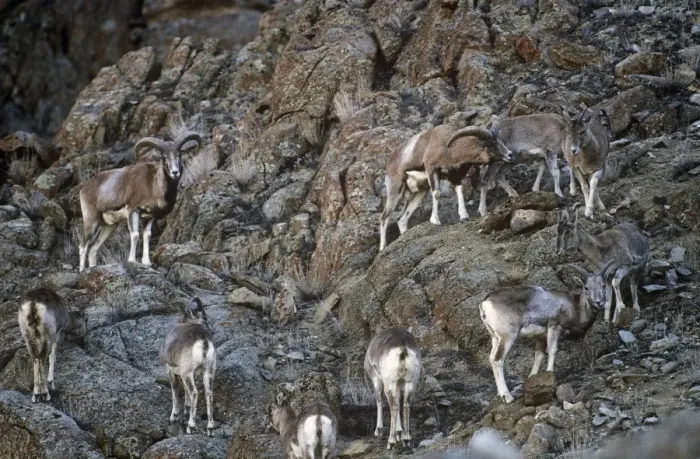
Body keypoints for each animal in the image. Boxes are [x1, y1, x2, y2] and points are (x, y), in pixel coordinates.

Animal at [78, 131, 202, 272]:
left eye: (179, 155)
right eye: (164, 157)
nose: (175, 172)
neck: (152, 186)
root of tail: (84, 188)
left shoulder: (150, 216)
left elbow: (146, 236)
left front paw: (146, 262)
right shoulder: (133, 211)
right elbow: (135, 234)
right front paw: (132, 260)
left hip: (108, 226)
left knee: (93, 248)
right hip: (91, 221)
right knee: (83, 246)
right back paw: (82, 271)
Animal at [161, 297, 216, 436]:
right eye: (205, 318)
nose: (212, 331)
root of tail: (203, 340)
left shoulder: (171, 371)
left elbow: (175, 390)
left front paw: (174, 417)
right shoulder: (194, 375)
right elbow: (185, 392)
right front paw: (186, 411)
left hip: (187, 373)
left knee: (195, 392)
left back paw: (190, 426)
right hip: (208, 372)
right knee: (208, 394)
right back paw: (210, 429)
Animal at [379, 125, 514, 251]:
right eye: (491, 144)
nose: (510, 155)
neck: (449, 149)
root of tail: (389, 163)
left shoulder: (455, 176)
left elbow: (460, 191)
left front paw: (464, 217)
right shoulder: (432, 170)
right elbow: (436, 193)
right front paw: (435, 220)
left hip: (419, 193)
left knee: (401, 219)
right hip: (395, 192)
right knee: (384, 217)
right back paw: (382, 248)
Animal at [479, 272, 607, 403]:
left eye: (603, 286)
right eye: (586, 288)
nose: (599, 302)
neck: (574, 307)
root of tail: (485, 303)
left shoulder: (540, 338)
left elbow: (539, 356)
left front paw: (532, 377)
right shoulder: (554, 327)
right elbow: (552, 351)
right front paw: (550, 372)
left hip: (495, 338)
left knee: (491, 358)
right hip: (507, 337)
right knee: (497, 360)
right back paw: (507, 397)